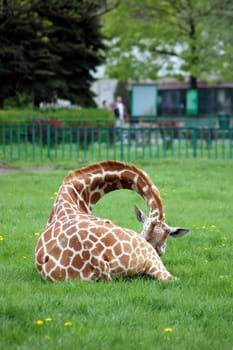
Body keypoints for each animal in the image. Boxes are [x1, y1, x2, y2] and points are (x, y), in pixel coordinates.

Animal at [36, 160, 189, 280]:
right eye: (145, 235)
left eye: (162, 247)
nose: (158, 252)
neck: (75, 193)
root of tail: (96, 259)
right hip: (152, 262)